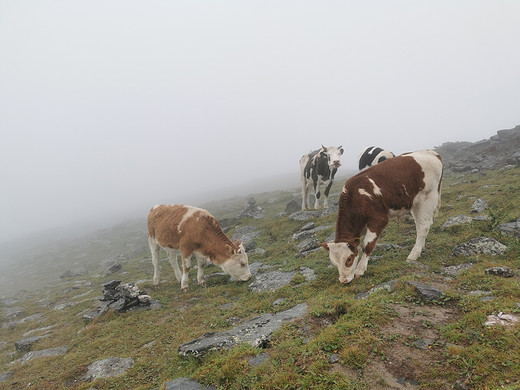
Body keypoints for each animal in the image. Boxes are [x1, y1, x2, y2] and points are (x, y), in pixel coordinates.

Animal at [320, 149, 442, 284]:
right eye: (334, 262)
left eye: (349, 259)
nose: (343, 280)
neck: (355, 197)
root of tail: (430, 152)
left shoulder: (379, 219)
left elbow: (367, 245)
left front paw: (360, 269)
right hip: (415, 203)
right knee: (420, 225)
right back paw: (420, 248)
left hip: (427, 197)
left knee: (423, 226)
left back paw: (413, 255)